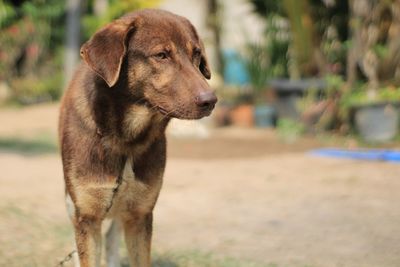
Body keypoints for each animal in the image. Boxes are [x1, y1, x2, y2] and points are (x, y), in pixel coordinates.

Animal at [57, 9, 217, 267]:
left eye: (196, 55)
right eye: (161, 55)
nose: (211, 101)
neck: (125, 139)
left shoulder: (140, 215)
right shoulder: (87, 216)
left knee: (112, 237)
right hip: (74, 204)